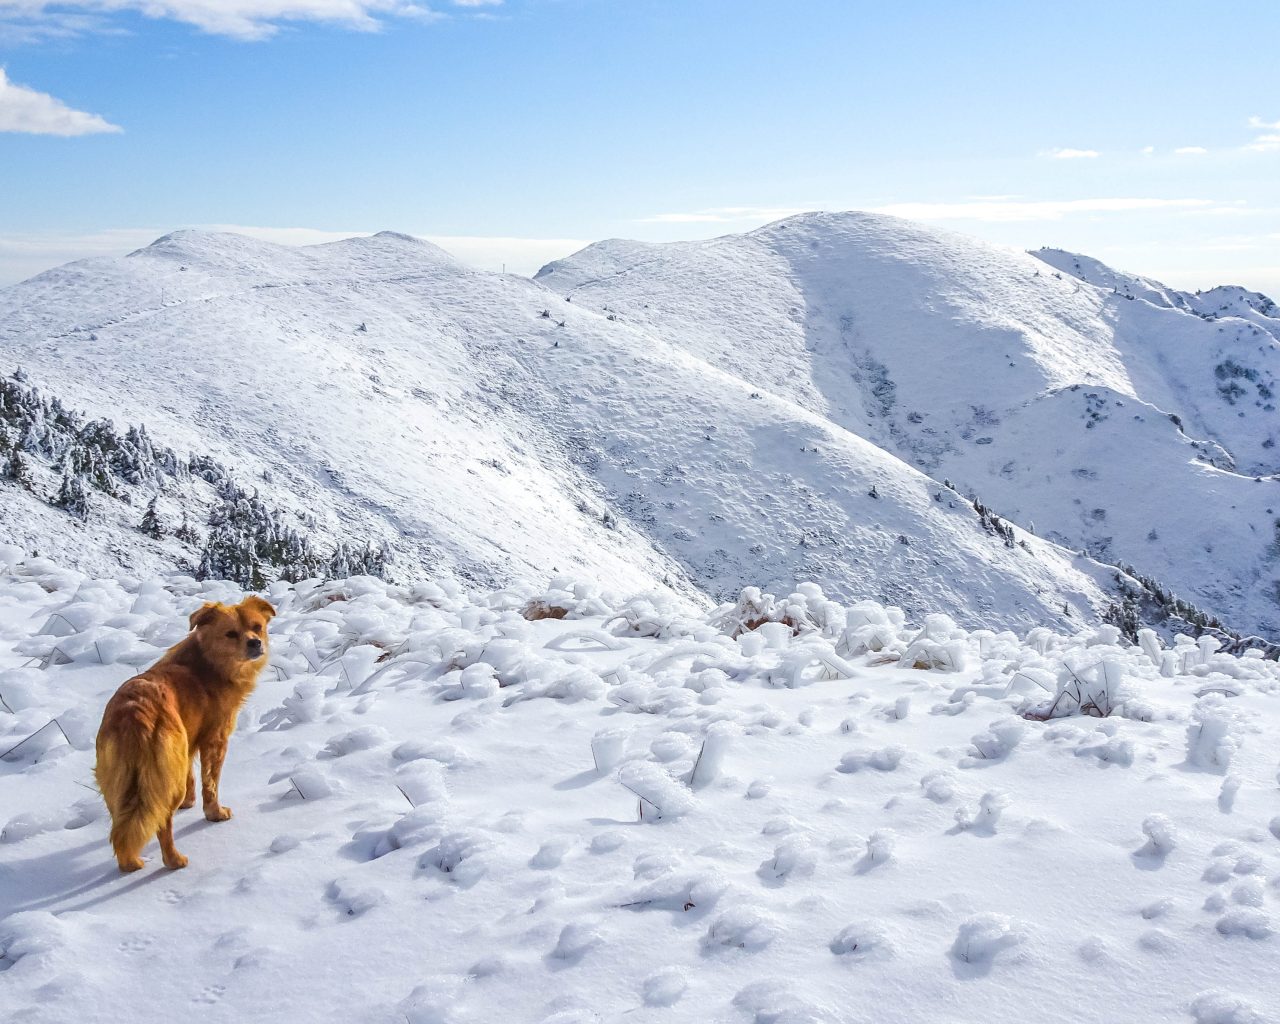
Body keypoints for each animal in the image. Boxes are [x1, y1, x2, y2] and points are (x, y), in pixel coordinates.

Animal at [94, 591, 275, 870]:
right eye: (231, 634)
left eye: (257, 627)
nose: (255, 643)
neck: (209, 663)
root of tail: (135, 711)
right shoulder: (215, 741)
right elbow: (210, 784)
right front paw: (215, 814)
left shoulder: (185, 745)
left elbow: (190, 775)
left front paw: (188, 804)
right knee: (161, 822)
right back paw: (174, 861)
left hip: (119, 780)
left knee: (122, 829)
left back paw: (131, 863)